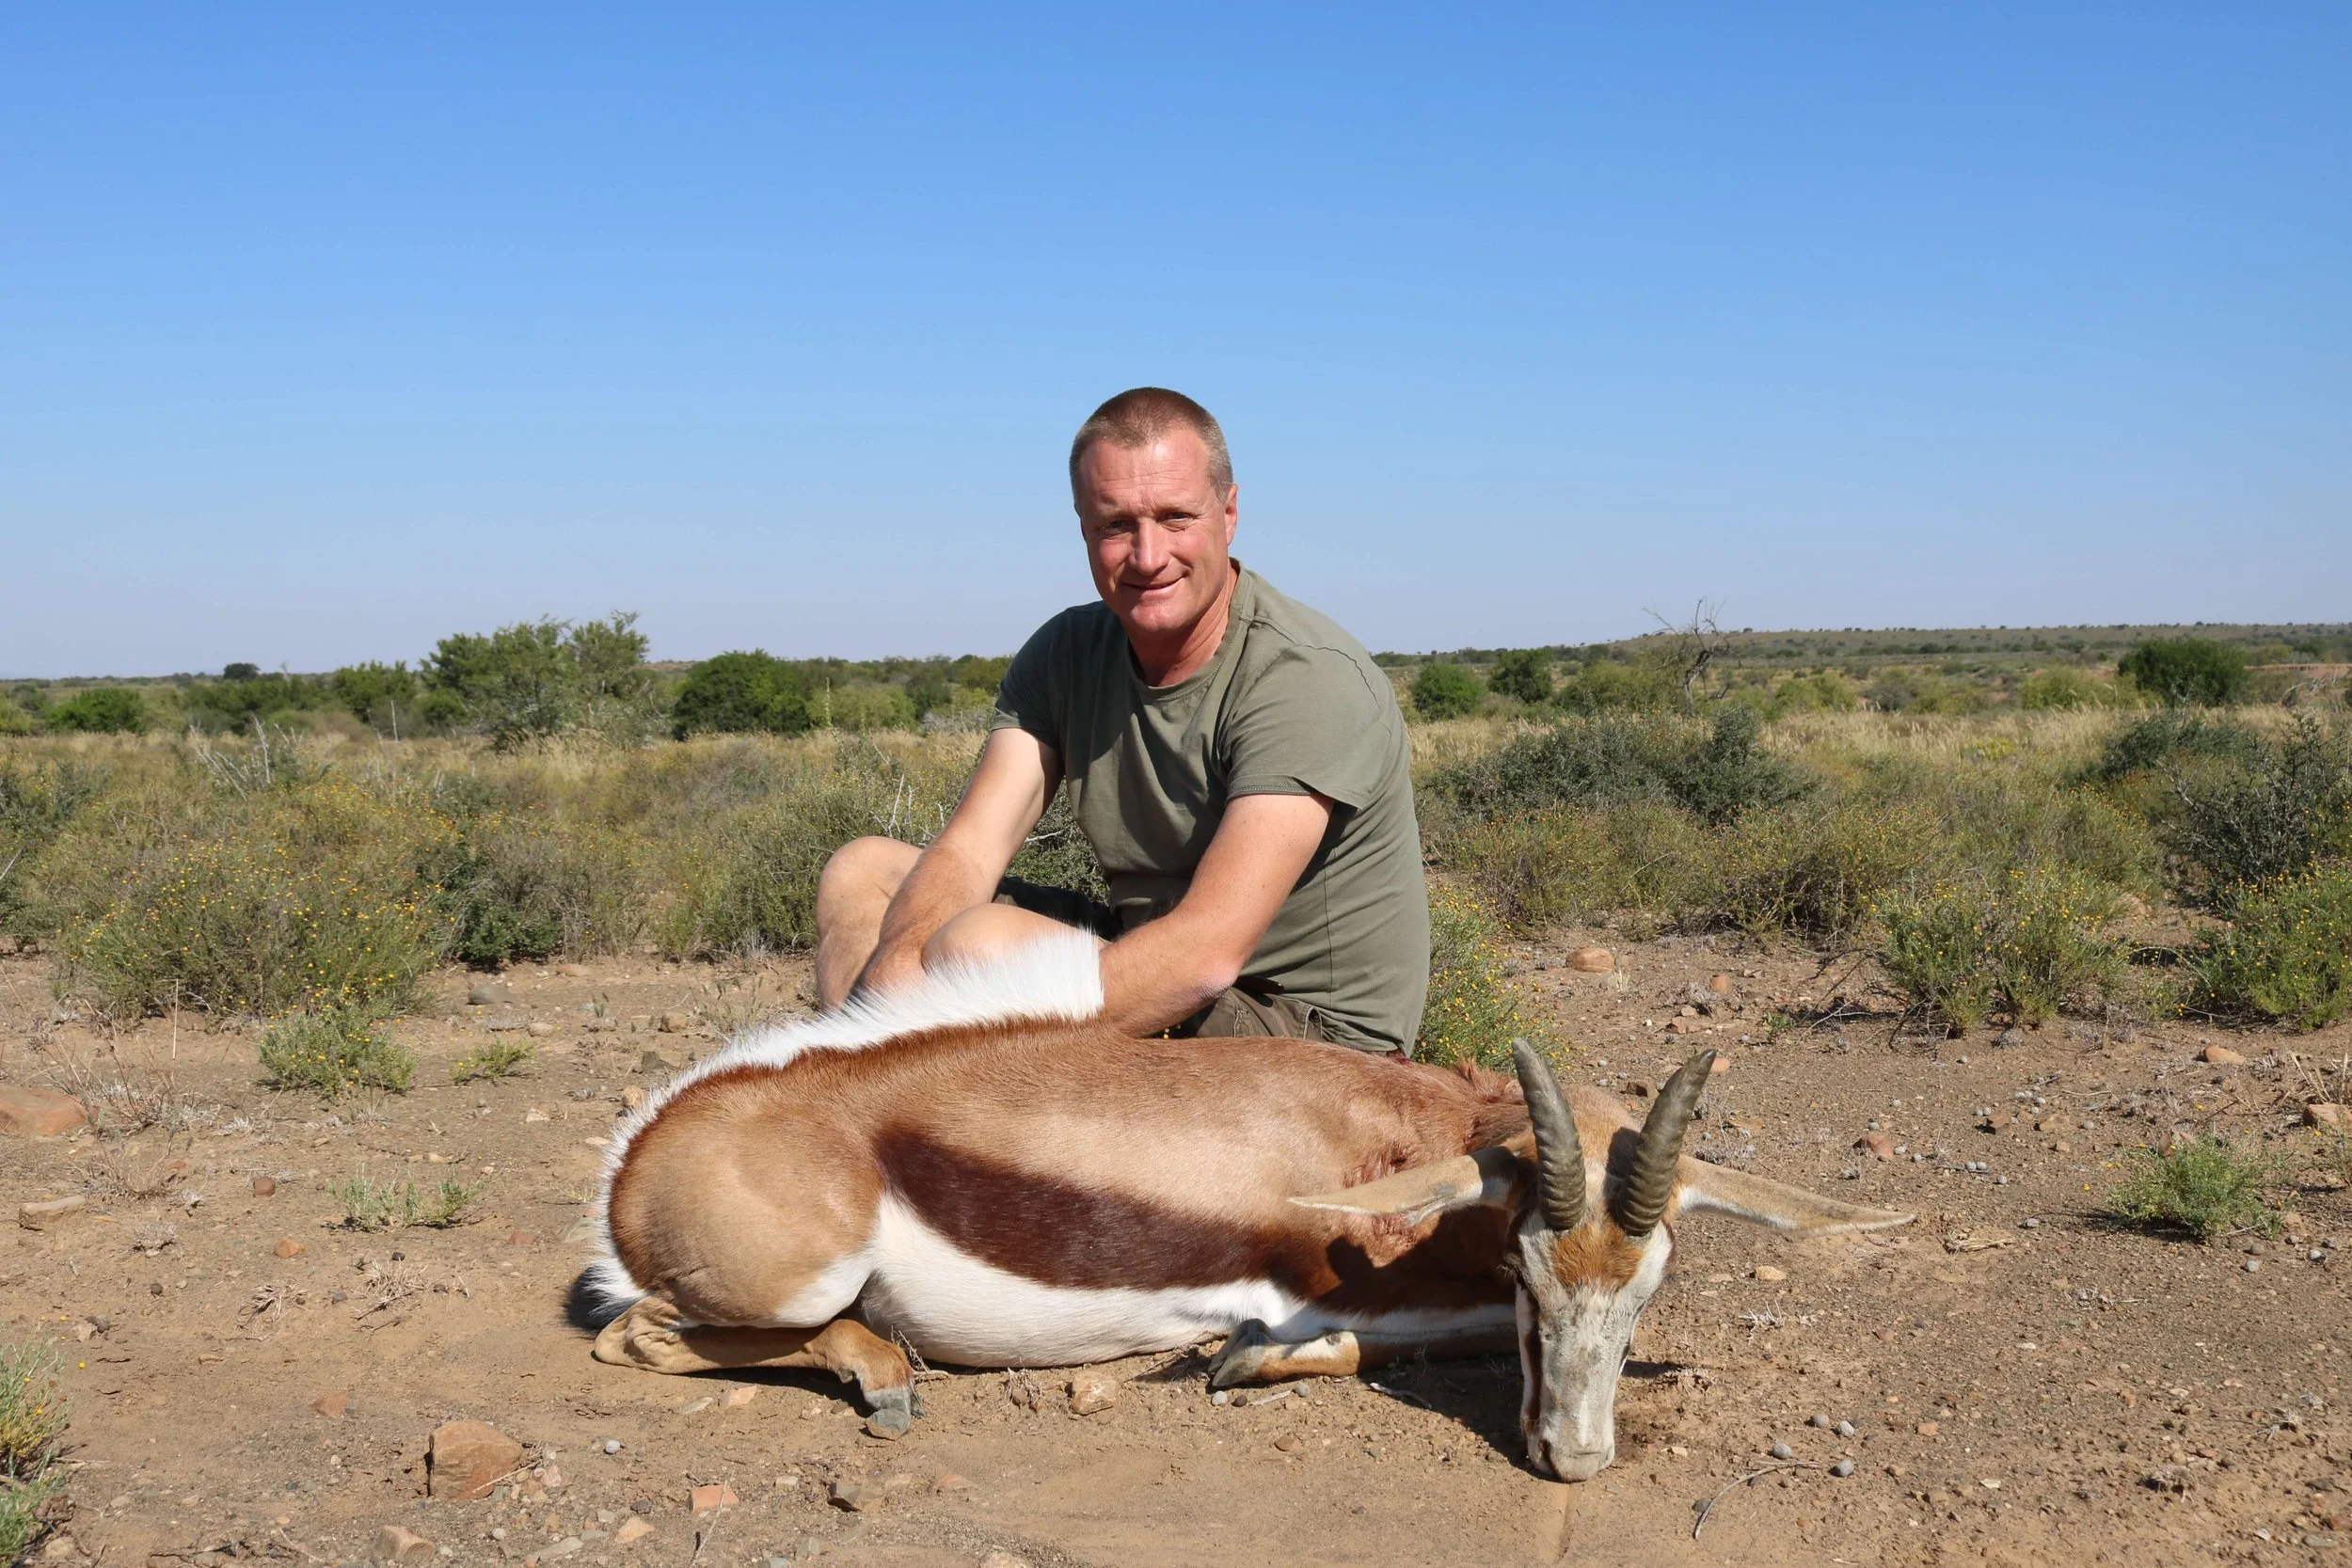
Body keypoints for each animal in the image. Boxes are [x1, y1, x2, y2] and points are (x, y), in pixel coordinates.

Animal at [586, 930, 1909, 1479]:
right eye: (1530, 1271)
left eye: (1648, 1285)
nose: (1573, 1458)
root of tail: (645, 1151)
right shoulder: (1349, 1298)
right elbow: (1354, 1339)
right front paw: (1235, 1359)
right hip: (792, 1281)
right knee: (636, 1336)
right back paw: (883, 1372)